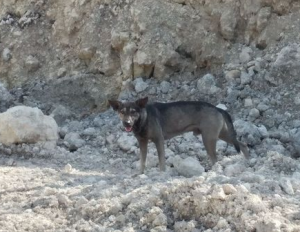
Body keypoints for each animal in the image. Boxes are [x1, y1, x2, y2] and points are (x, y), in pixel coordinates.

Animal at [109, 96, 250, 174]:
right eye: (122, 112)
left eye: (133, 112)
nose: (127, 123)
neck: (144, 118)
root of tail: (218, 108)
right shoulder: (142, 142)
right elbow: (142, 161)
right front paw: (140, 173)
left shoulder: (158, 140)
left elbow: (161, 161)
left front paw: (162, 173)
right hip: (222, 134)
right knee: (242, 144)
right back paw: (247, 161)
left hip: (208, 138)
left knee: (215, 158)